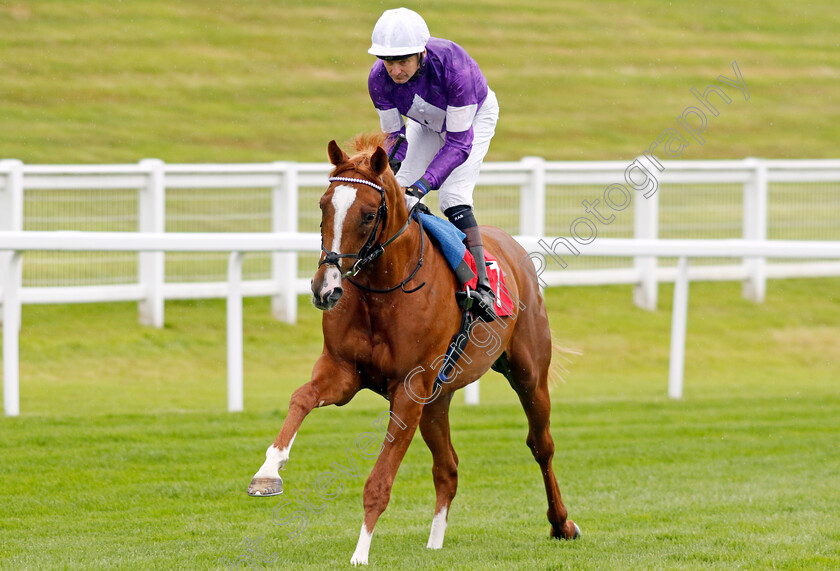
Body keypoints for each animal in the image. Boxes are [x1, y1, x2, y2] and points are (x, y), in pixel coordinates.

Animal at [246, 135, 580, 568]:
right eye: (323, 205)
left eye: (369, 215)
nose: (326, 288)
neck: (383, 291)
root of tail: (511, 247)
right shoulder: (343, 373)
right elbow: (301, 398)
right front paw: (268, 471)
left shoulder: (409, 390)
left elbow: (379, 481)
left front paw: (360, 553)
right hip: (438, 399)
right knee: (448, 467)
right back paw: (435, 543)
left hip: (528, 374)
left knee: (542, 446)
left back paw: (561, 523)